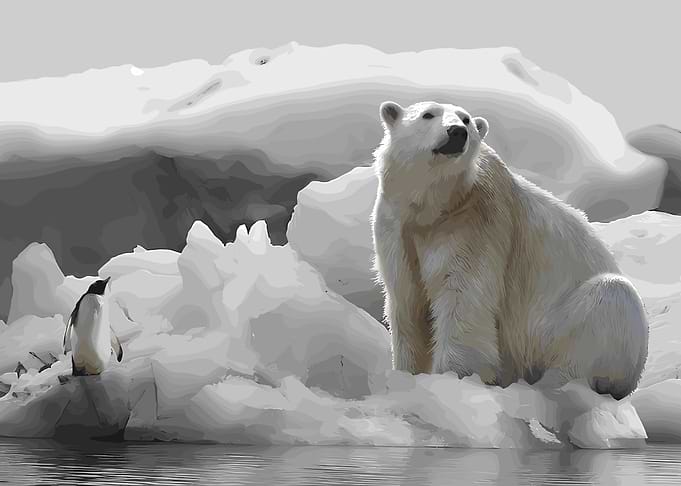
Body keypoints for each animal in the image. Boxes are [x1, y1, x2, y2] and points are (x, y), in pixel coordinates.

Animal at [370, 100, 649, 400]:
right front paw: (407, 375)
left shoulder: (476, 221)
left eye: (466, 120)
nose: (457, 132)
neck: (435, 208)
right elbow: (407, 300)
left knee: (610, 300)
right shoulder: (395, 227)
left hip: (558, 328)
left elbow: (463, 298)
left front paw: (454, 378)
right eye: (428, 114)